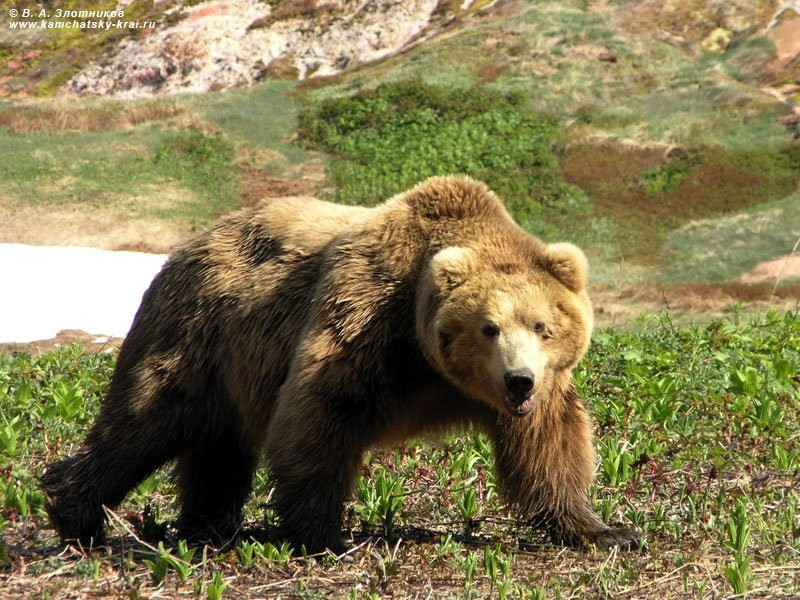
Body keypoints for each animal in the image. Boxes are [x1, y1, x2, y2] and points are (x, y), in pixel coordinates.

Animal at [40, 177, 640, 552]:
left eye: (542, 326)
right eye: (488, 328)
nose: (518, 380)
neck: (429, 363)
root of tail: (186, 245)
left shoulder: (535, 390)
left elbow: (550, 446)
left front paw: (604, 530)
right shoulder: (366, 320)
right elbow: (319, 414)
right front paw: (322, 534)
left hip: (233, 366)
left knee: (218, 446)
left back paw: (207, 525)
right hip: (198, 332)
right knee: (145, 417)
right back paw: (74, 508)